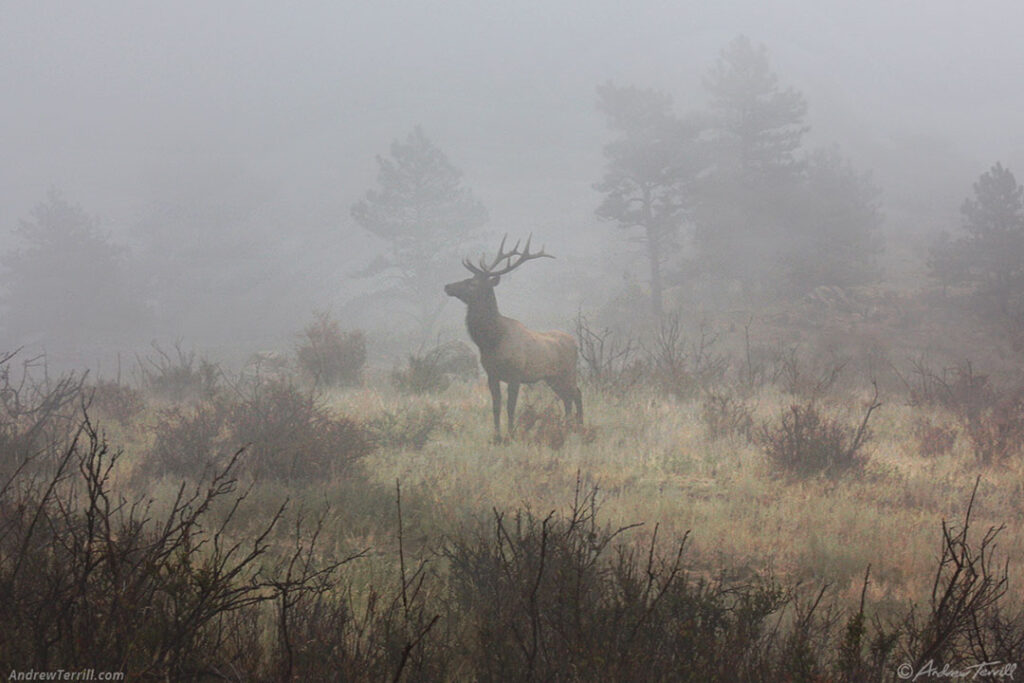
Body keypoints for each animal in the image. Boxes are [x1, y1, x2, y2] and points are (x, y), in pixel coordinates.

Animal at [444, 235, 581, 440]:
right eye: (470, 278)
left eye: (473, 283)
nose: (447, 286)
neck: (491, 340)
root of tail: (576, 343)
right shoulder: (491, 374)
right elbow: (495, 407)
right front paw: (496, 436)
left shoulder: (516, 374)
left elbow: (510, 407)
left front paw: (511, 434)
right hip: (552, 377)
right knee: (568, 397)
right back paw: (569, 426)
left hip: (568, 371)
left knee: (576, 393)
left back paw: (579, 427)